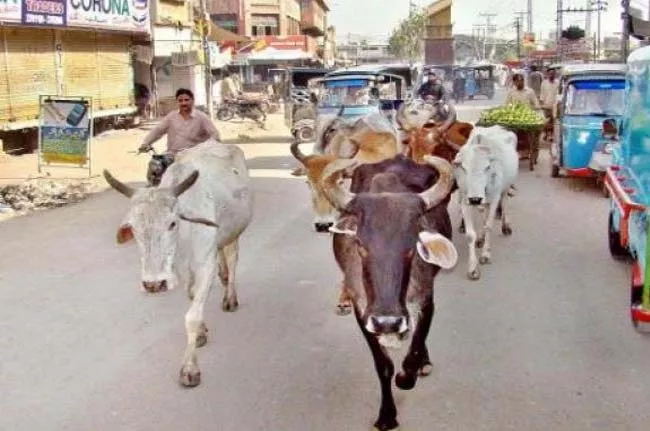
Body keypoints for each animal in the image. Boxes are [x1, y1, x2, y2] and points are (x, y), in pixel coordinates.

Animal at [102, 142, 252, 388]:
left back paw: (230, 297)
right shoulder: (182, 274)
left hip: (234, 232)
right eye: (133, 228)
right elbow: (192, 299)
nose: (153, 285)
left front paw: (190, 369)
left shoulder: (204, 265)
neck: (184, 239)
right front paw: (201, 333)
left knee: (231, 258)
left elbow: (192, 317)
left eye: (172, 223)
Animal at [322, 154, 456, 430]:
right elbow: (383, 365)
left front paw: (407, 375)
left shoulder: (426, 301)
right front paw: (386, 415)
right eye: (361, 244)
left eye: (411, 246)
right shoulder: (363, 312)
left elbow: (414, 350)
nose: (388, 322)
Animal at [450, 125, 516, 280]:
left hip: (505, 188)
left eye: (487, 167)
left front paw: (486, 254)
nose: (475, 199)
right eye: (463, 167)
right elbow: (470, 234)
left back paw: (506, 226)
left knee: (505, 203)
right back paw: (480, 238)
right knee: (484, 214)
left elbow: (489, 226)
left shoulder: (494, 198)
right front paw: (473, 268)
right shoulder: (465, 200)